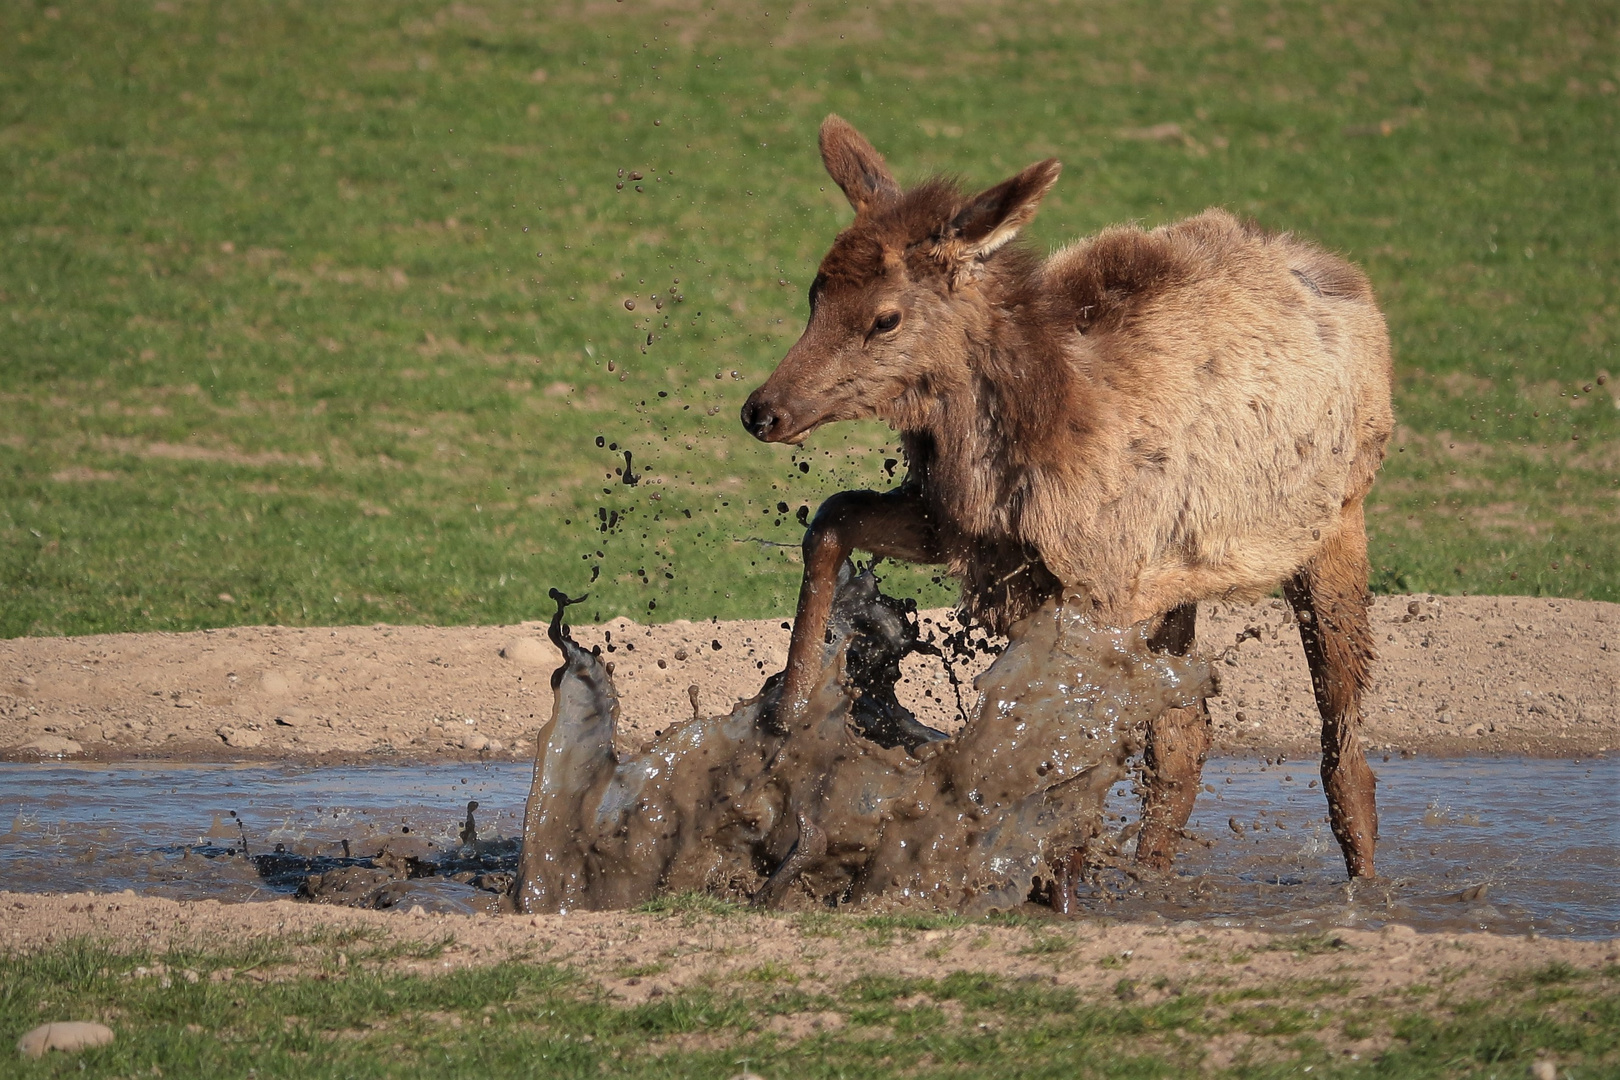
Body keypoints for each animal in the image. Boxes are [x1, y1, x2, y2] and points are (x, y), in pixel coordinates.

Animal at [741, 116, 1393, 887]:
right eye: (815, 292)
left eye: (886, 318)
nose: (763, 410)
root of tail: (1342, 273)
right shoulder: (965, 529)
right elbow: (831, 516)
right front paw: (787, 711)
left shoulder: (1100, 577)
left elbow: (1064, 744)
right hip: (1177, 576)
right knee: (1182, 739)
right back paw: (1150, 875)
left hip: (1335, 521)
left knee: (1340, 736)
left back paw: (1364, 881)